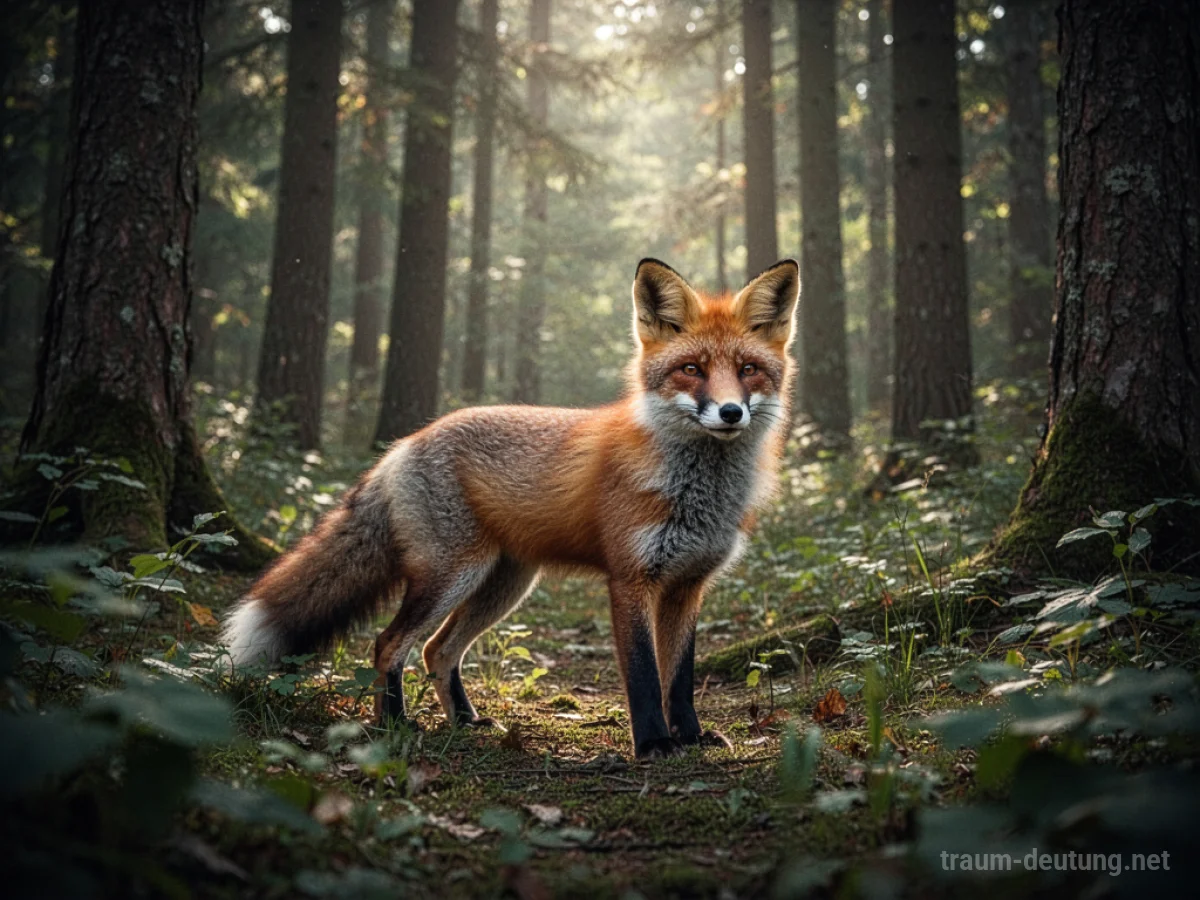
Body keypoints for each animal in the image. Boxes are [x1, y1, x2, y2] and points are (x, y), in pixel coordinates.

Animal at [222, 258, 799, 759]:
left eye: (748, 369)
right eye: (691, 369)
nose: (730, 412)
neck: (698, 492)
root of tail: (405, 443)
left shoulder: (687, 585)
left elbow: (678, 678)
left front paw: (692, 737)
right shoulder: (630, 579)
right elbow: (641, 674)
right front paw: (655, 744)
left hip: (504, 585)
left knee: (437, 650)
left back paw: (466, 721)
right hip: (452, 574)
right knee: (389, 645)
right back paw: (395, 726)